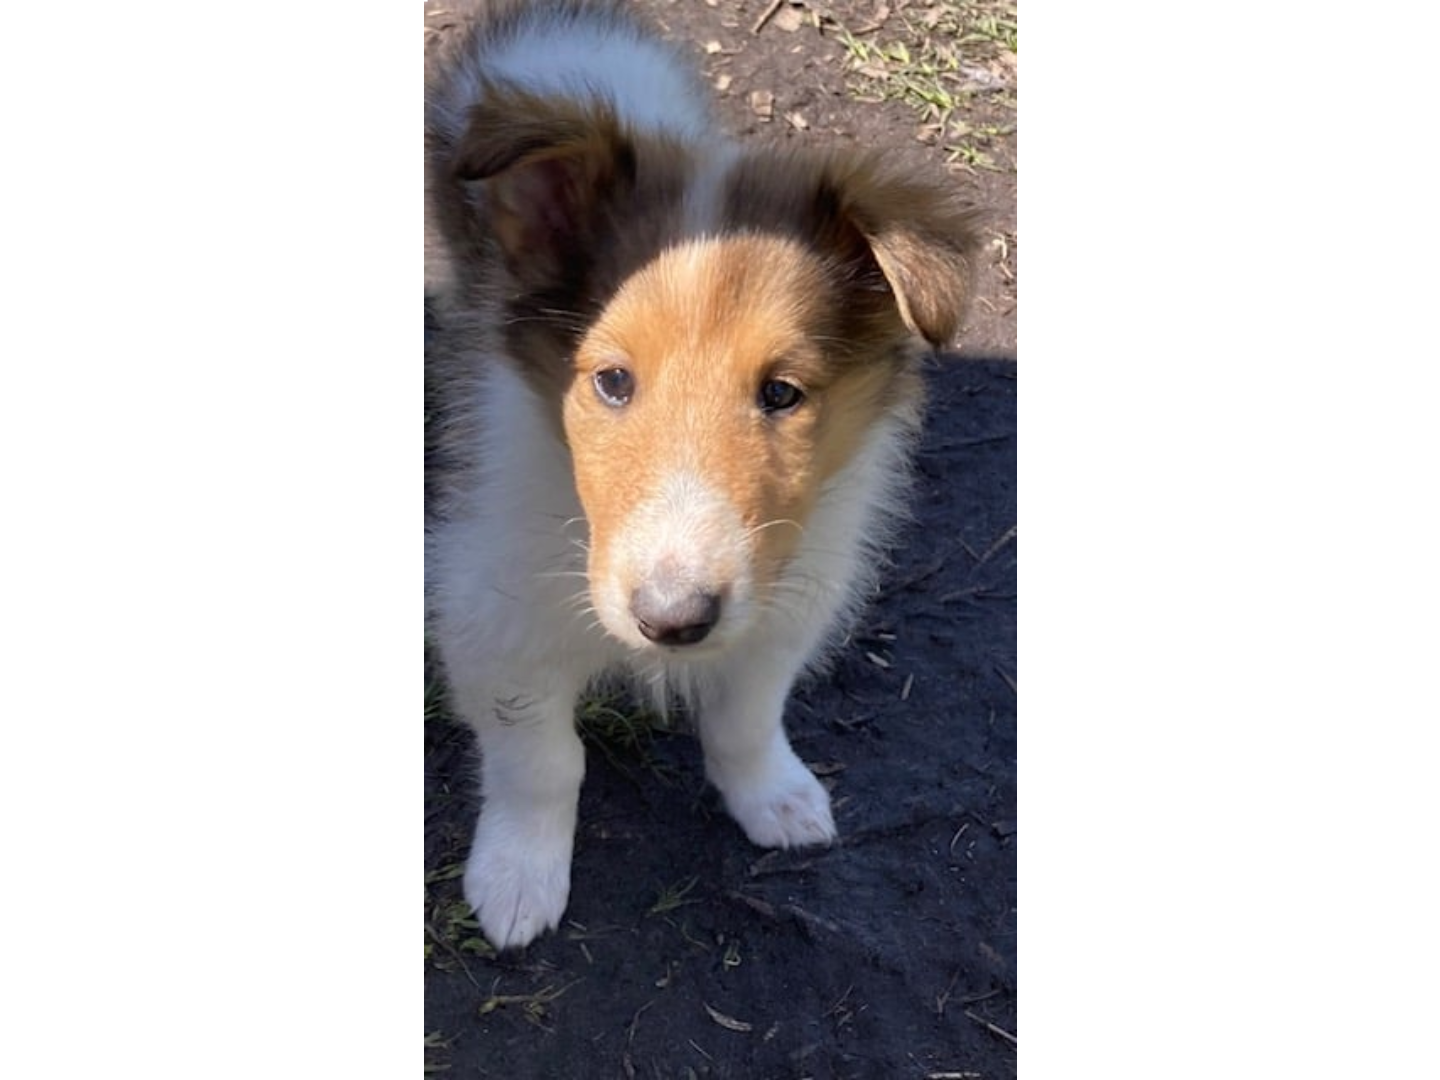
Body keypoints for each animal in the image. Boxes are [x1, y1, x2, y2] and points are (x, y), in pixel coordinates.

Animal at [420, 0, 973, 944]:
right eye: (611, 381)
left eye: (782, 393)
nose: (673, 621)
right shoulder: (491, 612)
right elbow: (540, 758)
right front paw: (520, 877)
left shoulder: (786, 596)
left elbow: (748, 714)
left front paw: (774, 797)